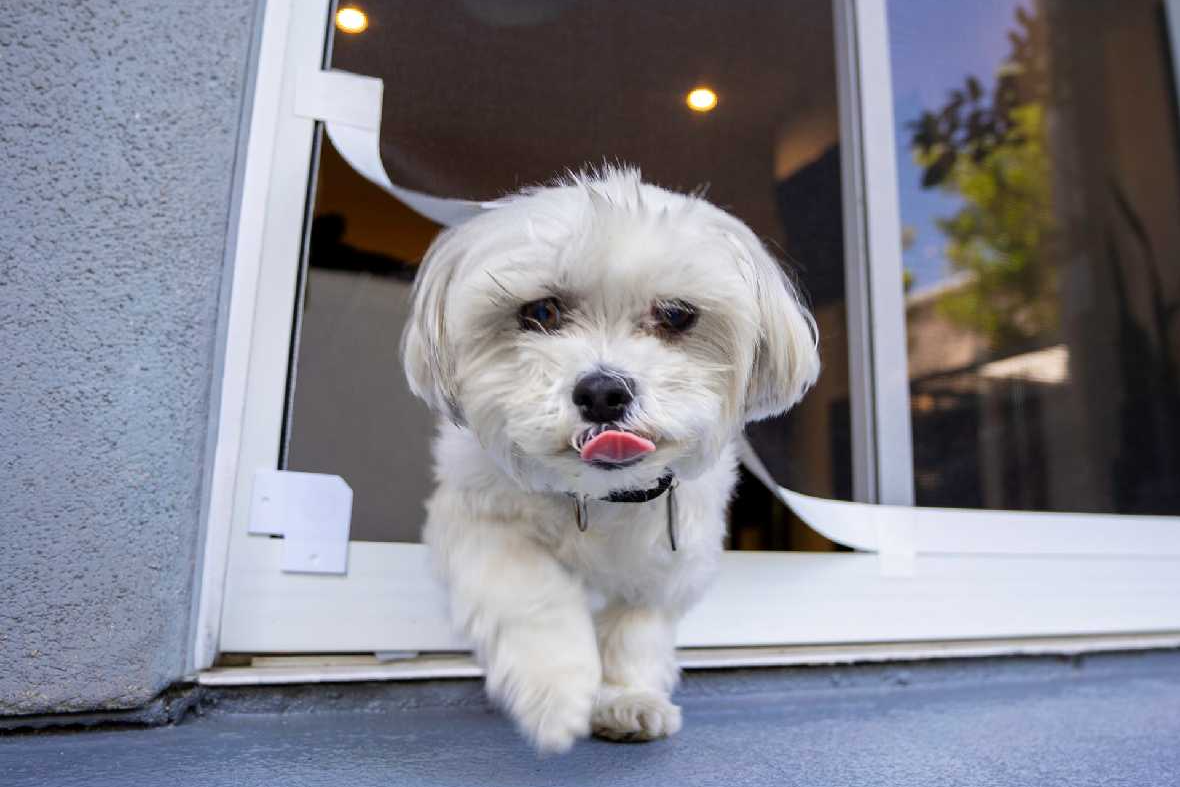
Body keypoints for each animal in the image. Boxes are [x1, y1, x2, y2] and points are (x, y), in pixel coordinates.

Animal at [401, 166, 816, 750]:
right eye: (542, 311)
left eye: (676, 315)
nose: (602, 391)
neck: (599, 496)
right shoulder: (476, 518)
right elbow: (530, 591)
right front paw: (553, 689)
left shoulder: (668, 565)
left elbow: (634, 630)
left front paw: (625, 698)